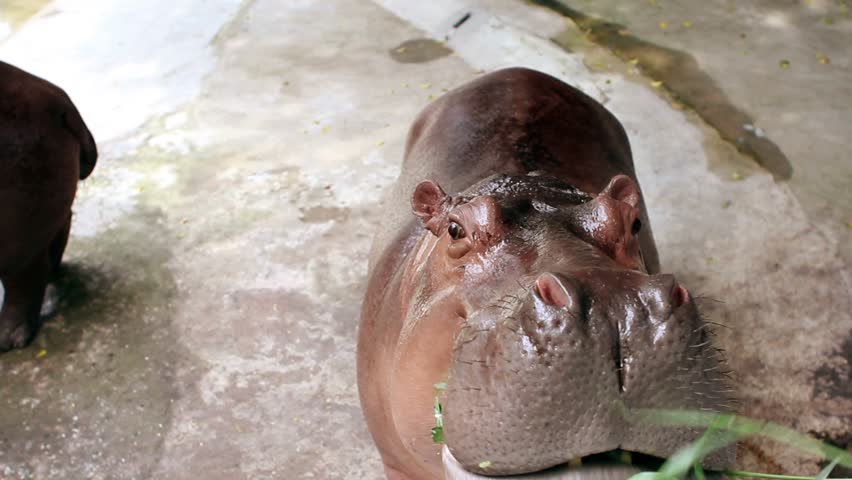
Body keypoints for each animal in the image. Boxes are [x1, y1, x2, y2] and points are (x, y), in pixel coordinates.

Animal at [357, 68, 735, 480]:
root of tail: (519, 72)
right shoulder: (396, 462)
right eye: (455, 229)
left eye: (633, 223)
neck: (529, 183)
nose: (619, 308)